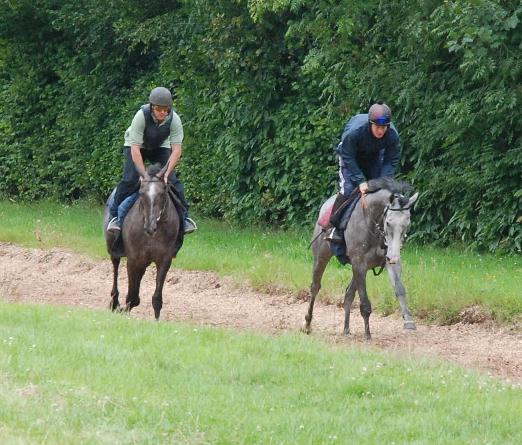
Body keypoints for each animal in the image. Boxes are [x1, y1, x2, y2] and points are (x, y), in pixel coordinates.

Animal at [103, 163, 181, 320]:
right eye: (141, 193)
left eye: (162, 193)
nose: (150, 227)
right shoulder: (133, 259)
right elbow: (132, 295)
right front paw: (124, 310)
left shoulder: (164, 260)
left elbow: (156, 298)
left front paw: (156, 320)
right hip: (113, 247)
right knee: (115, 266)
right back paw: (114, 301)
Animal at [302, 179, 416, 338]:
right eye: (388, 222)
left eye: (407, 223)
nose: (394, 256)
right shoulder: (359, 264)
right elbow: (365, 303)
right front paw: (367, 334)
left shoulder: (384, 262)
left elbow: (399, 289)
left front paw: (408, 321)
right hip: (321, 257)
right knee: (315, 287)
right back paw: (307, 324)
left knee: (348, 293)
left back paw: (346, 329)